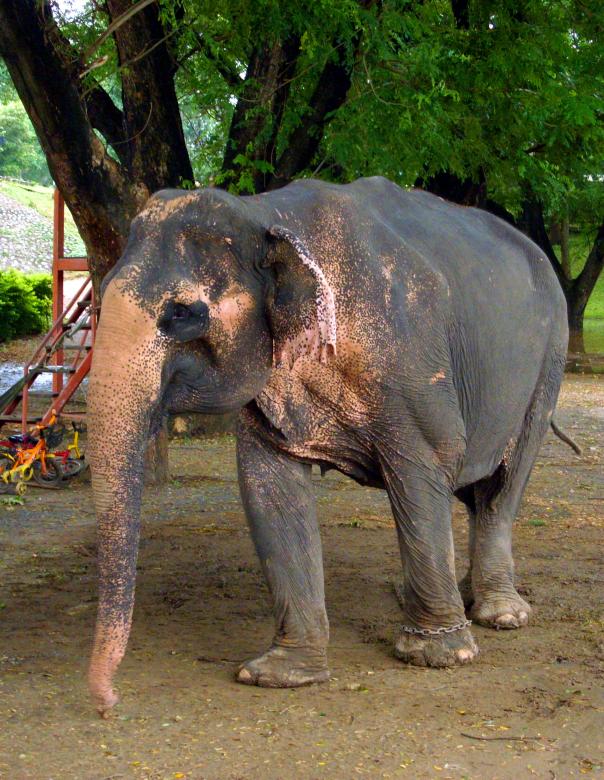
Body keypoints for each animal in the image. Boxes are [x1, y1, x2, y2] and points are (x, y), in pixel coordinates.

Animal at [86, 176, 569, 714]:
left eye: (182, 313)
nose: (108, 702)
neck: (266, 214)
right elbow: (269, 489)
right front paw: (279, 675)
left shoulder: (408, 363)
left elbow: (425, 466)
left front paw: (438, 656)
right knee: (475, 490)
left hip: (549, 362)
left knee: (504, 485)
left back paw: (500, 615)